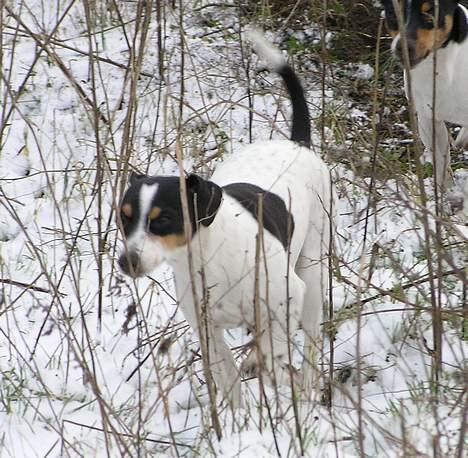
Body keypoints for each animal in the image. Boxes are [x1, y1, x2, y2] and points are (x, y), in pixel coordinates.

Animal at [119, 30, 334, 406]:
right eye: (124, 217)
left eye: (164, 218)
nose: (126, 261)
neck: (209, 259)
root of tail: (298, 144)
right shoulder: (208, 332)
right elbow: (230, 382)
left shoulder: (288, 297)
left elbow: (274, 351)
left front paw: (267, 368)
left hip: (313, 270)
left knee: (311, 341)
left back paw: (306, 383)